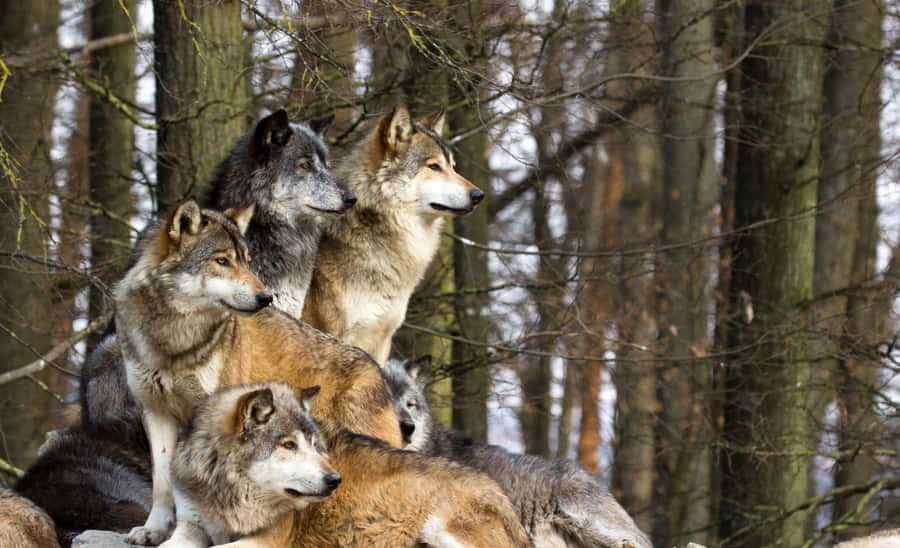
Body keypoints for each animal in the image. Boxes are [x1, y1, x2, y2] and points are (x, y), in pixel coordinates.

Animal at [115, 200, 402, 545]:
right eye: (222, 261)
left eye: (247, 262)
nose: (266, 297)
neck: (175, 341)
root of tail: (376, 369)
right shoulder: (155, 412)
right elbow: (161, 482)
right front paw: (153, 530)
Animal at [166, 382, 532, 548]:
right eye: (289, 445)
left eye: (315, 446)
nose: (334, 480)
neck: (226, 494)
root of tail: (505, 502)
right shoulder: (190, 527)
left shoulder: (267, 541)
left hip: (438, 525)